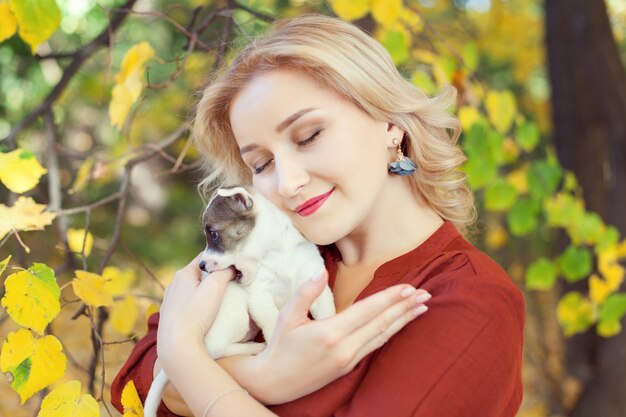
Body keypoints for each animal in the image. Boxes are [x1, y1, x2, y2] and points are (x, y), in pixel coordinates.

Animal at [143, 186, 334, 416]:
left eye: (213, 233)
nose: (202, 266)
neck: (279, 252)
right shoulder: (260, 296)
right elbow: (273, 323)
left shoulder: (315, 281)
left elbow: (328, 314)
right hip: (236, 315)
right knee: (214, 347)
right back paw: (254, 349)